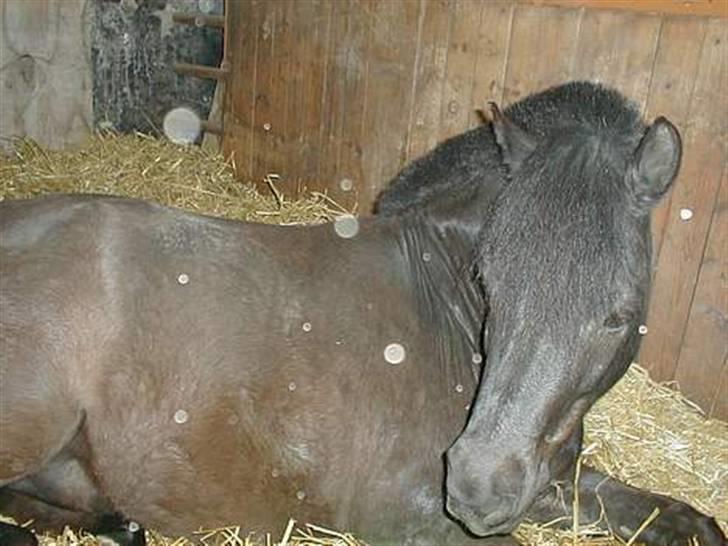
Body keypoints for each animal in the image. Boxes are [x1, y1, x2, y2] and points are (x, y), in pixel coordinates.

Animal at [0, 82, 723, 546]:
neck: (446, 311)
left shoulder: (545, 478)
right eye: (489, 283)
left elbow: (662, 513)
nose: (477, 484)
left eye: (616, 316)